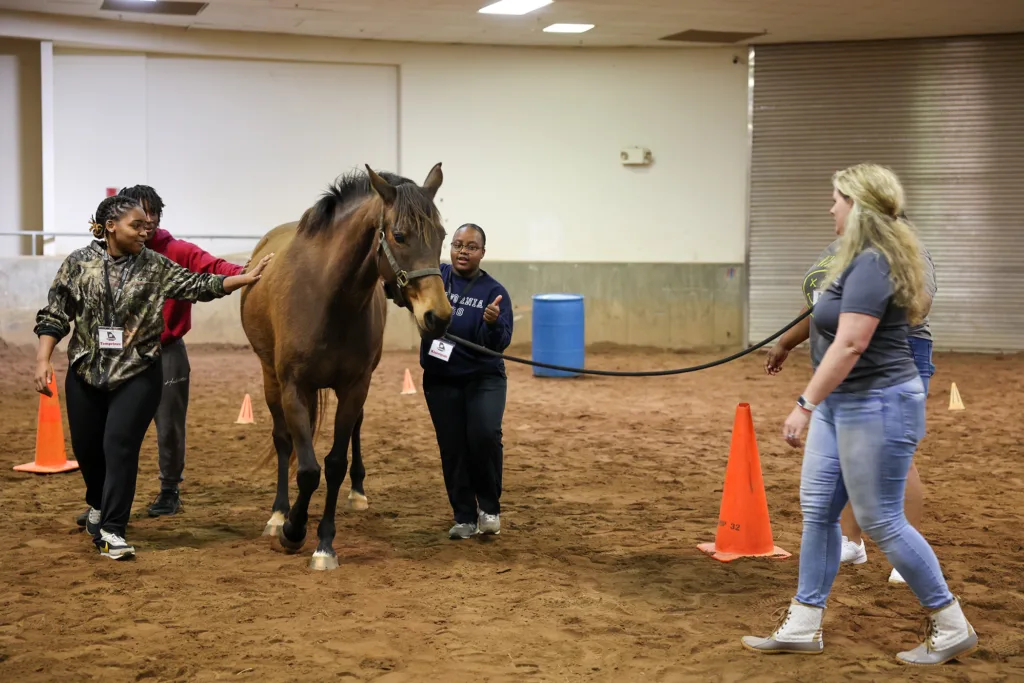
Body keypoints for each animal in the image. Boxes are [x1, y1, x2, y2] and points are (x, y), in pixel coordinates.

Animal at [240, 163, 453, 570]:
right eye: (399, 236)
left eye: (442, 235)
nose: (438, 316)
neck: (328, 297)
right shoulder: (293, 387)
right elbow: (307, 468)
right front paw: (292, 530)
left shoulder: (355, 387)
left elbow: (335, 463)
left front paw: (324, 544)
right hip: (270, 378)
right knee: (283, 441)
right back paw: (278, 515)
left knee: (354, 430)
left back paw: (357, 492)